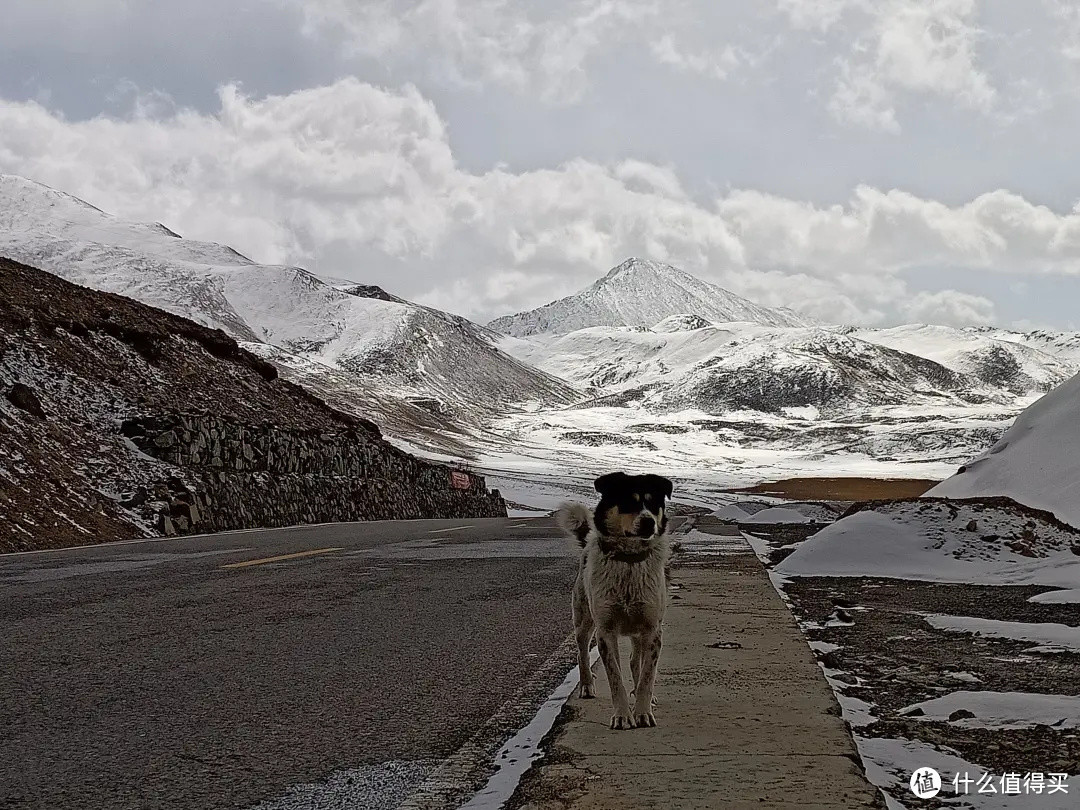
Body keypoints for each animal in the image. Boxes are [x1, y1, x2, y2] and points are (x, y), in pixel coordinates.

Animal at [561, 473, 669, 734]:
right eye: (628, 502)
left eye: (653, 503)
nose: (649, 523)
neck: (628, 561)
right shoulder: (606, 630)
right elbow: (615, 677)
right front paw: (622, 716)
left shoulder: (652, 628)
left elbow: (647, 675)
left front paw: (643, 712)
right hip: (583, 619)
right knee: (582, 651)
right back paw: (587, 686)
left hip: (639, 631)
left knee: (635, 661)